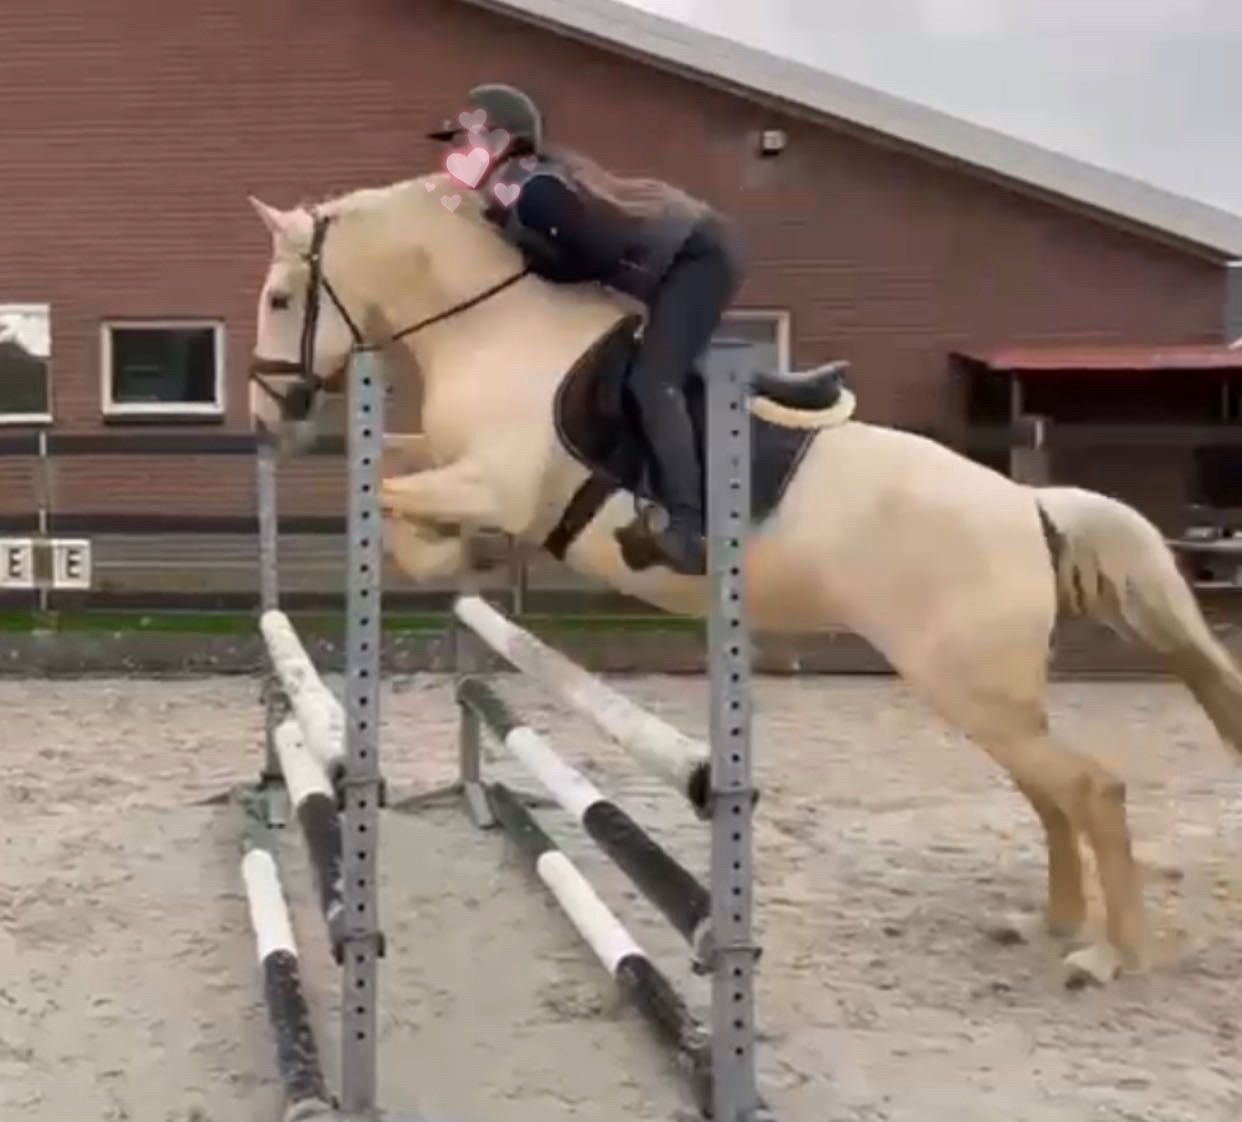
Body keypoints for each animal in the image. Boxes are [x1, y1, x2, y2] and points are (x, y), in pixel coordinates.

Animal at [244, 172, 1242, 989]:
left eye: (282, 296)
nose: (267, 413)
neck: (493, 330)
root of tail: (1024, 505)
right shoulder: (458, 466)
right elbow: (400, 480)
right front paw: (467, 556)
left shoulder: (497, 480)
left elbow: (389, 496)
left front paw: (460, 550)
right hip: (985, 698)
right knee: (1051, 793)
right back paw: (1055, 923)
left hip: (974, 687)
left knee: (1091, 791)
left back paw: (1108, 955)